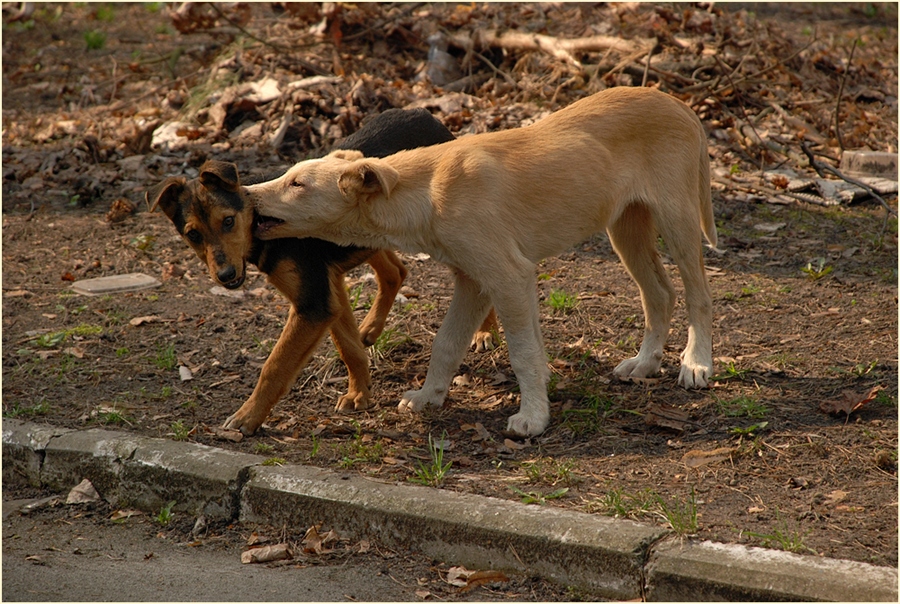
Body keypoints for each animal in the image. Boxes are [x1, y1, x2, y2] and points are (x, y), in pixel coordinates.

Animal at [150, 107, 496, 434]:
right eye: (193, 235)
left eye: (228, 221)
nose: (224, 276)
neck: (258, 219)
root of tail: (424, 114)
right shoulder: (327, 292)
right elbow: (348, 347)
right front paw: (359, 394)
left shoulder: (313, 303)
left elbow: (275, 366)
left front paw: (248, 417)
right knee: (396, 272)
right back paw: (371, 327)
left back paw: (484, 332)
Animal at [251, 87, 716, 436]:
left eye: (297, 184)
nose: (246, 194)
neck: (429, 191)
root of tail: (678, 103)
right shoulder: (473, 280)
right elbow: (446, 344)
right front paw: (429, 397)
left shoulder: (509, 276)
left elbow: (523, 352)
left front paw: (532, 418)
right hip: (625, 227)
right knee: (660, 293)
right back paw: (645, 362)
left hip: (677, 219)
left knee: (698, 294)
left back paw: (696, 363)